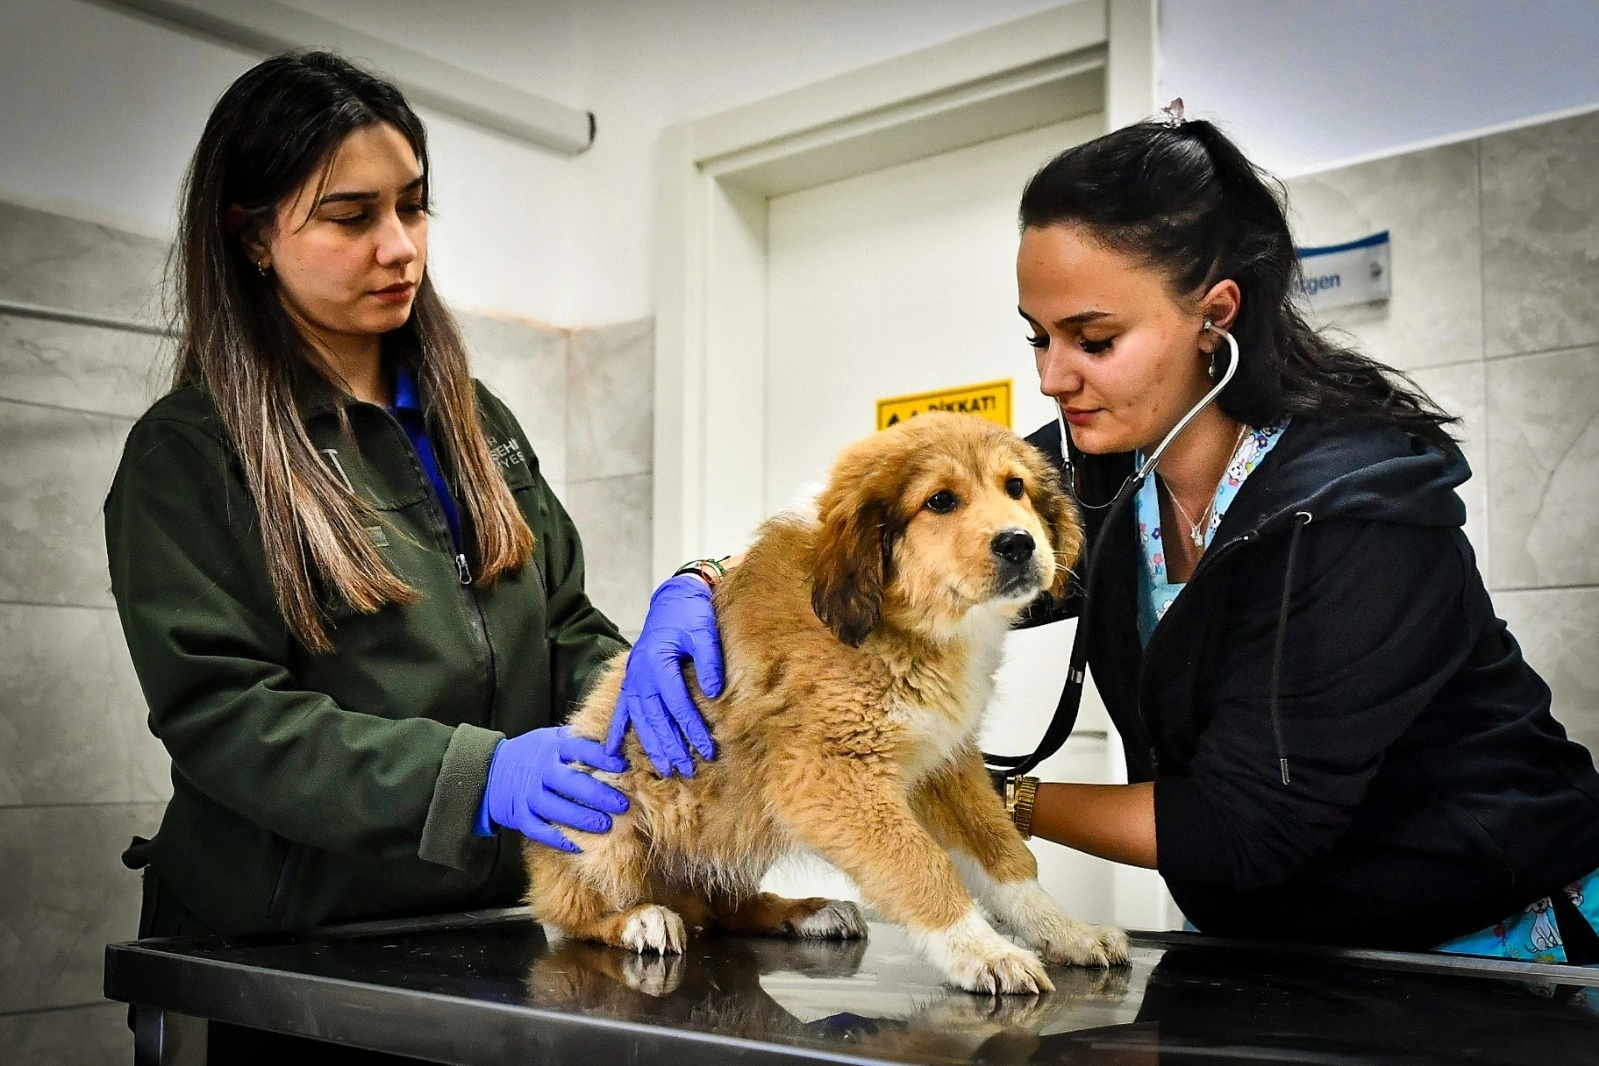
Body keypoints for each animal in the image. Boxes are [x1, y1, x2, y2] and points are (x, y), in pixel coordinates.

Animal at [524, 412, 1125, 997]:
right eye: (940, 501)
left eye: (1015, 487)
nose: (1019, 543)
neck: (901, 623)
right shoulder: (827, 777)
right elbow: (922, 863)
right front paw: (984, 953)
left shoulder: (944, 763)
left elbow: (1005, 856)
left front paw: (1066, 931)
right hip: (605, 825)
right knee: (573, 912)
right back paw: (640, 919)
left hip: (741, 820)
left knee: (724, 904)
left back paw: (807, 911)